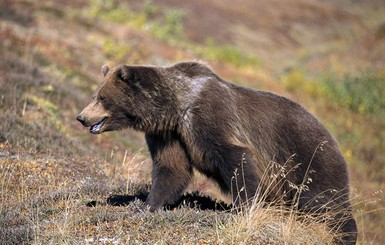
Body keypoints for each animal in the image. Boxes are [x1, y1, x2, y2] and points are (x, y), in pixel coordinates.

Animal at [76, 60, 356, 243]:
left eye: (101, 97)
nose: (81, 117)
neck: (175, 106)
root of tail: (332, 137)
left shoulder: (208, 117)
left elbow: (235, 159)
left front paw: (244, 209)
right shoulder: (170, 134)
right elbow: (171, 169)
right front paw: (147, 205)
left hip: (307, 157)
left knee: (324, 200)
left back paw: (345, 234)